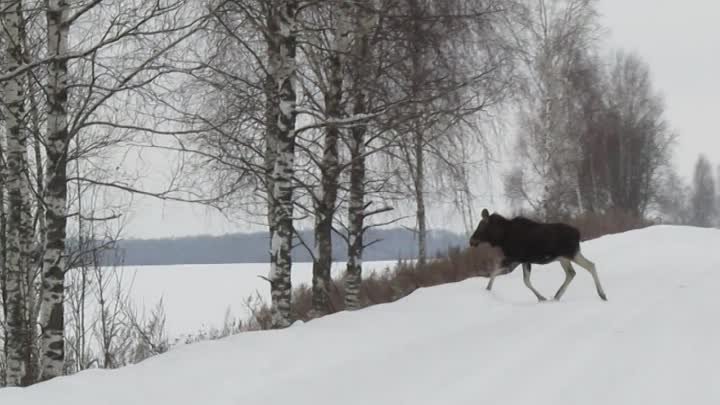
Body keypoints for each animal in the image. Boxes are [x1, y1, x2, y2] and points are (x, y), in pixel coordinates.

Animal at [466, 208, 608, 300]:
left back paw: (602, 294)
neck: (501, 237)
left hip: (571, 253)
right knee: (571, 273)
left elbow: (495, 271)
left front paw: (488, 289)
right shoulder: (523, 260)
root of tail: (578, 233)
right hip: (563, 258)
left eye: (481, 225)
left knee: (590, 265)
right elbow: (525, 281)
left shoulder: (514, 258)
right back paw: (557, 296)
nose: (471, 241)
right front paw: (542, 298)